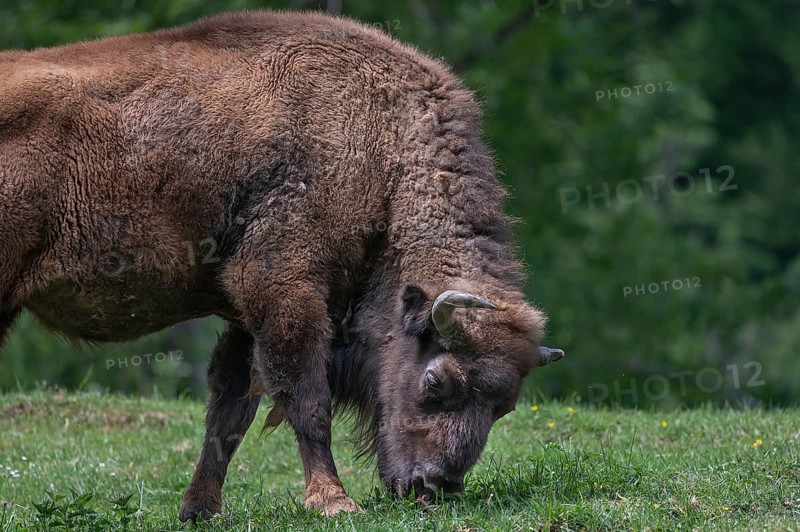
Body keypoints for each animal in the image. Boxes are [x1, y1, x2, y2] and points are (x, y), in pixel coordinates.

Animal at [0, 10, 564, 521]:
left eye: (504, 405)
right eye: (436, 382)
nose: (435, 485)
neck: (383, 155)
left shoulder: (242, 311)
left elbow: (230, 409)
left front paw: (200, 509)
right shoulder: (284, 289)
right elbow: (305, 399)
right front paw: (334, 503)